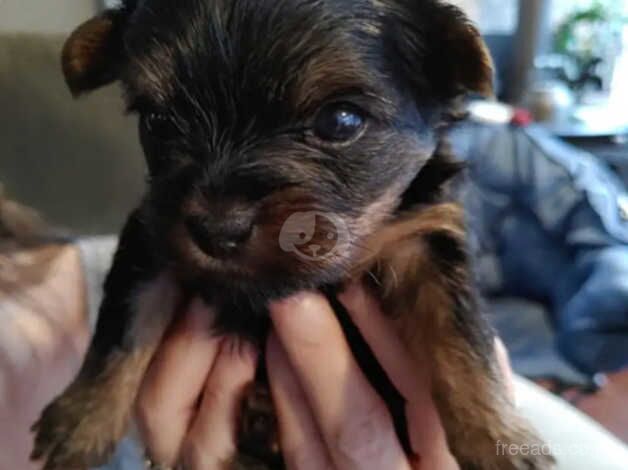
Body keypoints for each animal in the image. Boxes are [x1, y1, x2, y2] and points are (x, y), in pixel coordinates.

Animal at [34, 0, 556, 470]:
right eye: (158, 121)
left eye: (341, 121)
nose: (216, 229)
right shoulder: (153, 232)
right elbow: (123, 326)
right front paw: (80, 422)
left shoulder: (423, 236)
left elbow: (462, 335)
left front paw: (499, 438)